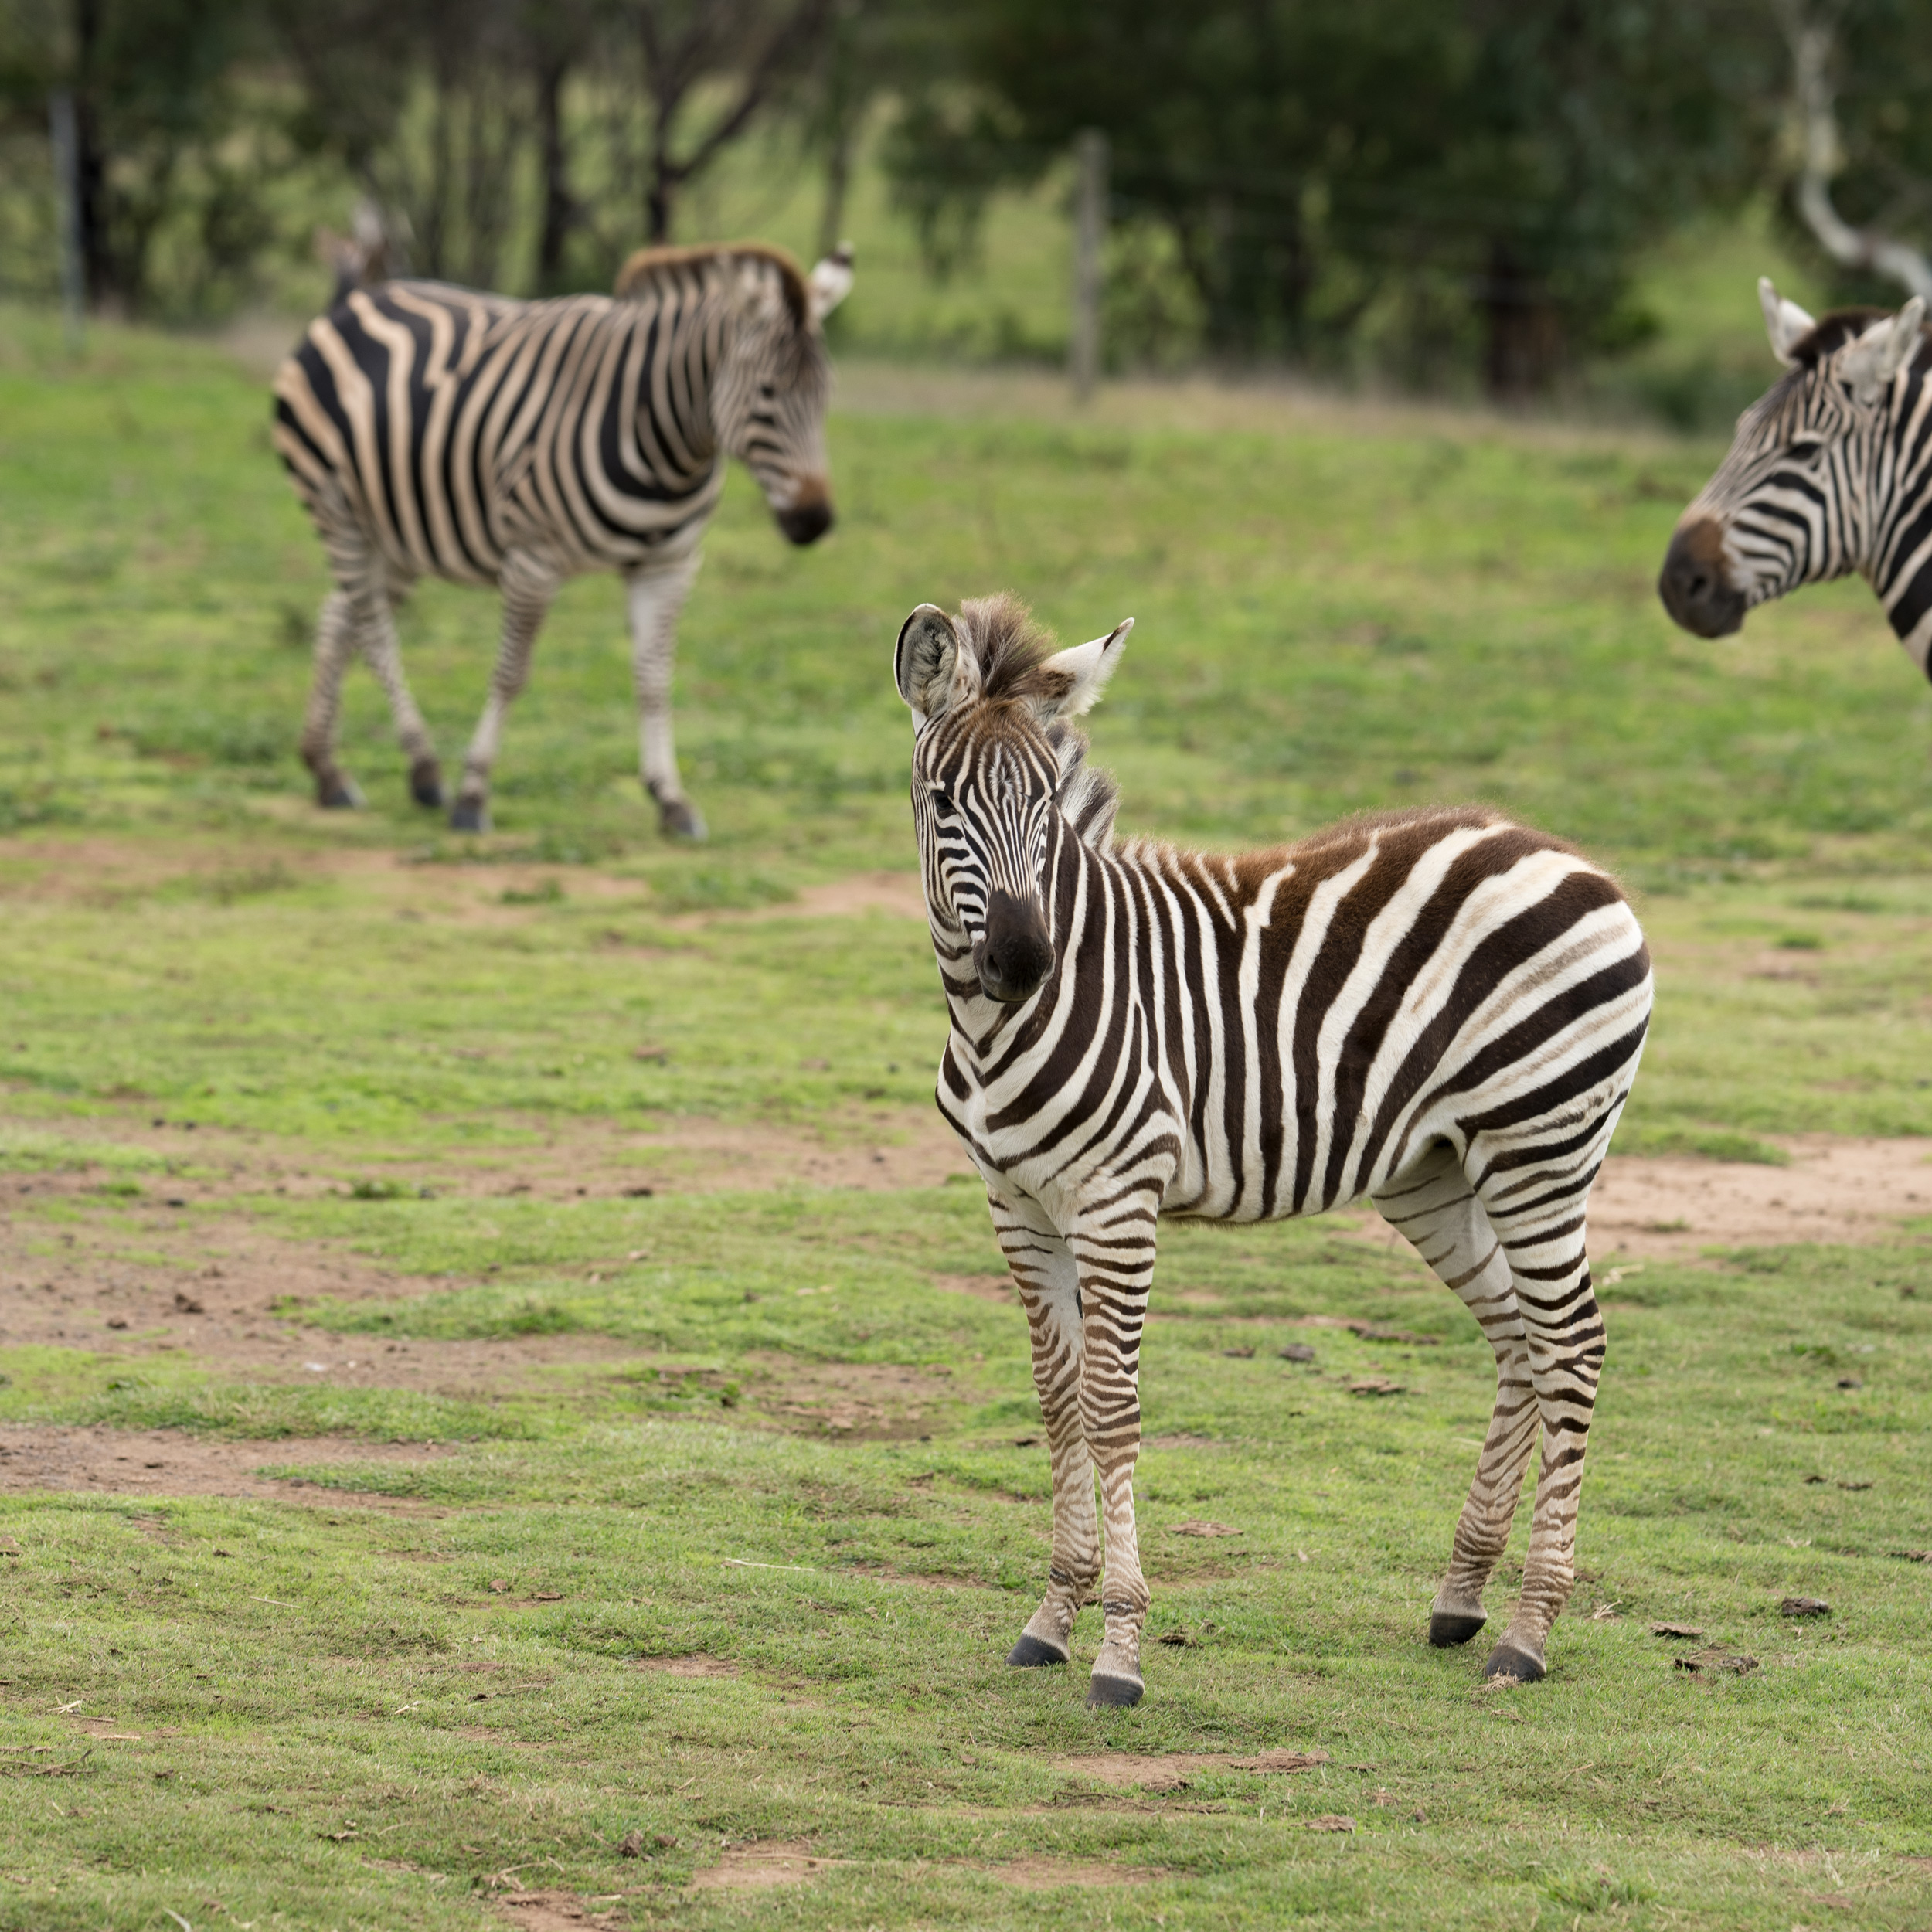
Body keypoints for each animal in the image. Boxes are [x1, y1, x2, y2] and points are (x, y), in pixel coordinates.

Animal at [272, 237, 854, 835]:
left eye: (826, 395)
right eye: (767, 393)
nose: (814, 521)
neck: (667, 442)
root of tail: (356, 301)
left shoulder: (669, 564)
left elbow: (654, 679)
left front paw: (671, 798)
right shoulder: (534, 559)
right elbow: (510, 674)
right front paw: (473, 794)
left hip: (399, 530)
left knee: (338, 619)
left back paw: (327, 769)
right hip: (336, 510)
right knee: (375, 633)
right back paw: (424, 767)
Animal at [896, 591, 1654, 1708]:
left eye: (1045, 806)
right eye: (944, 800)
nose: (1023, 959)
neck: (998, 1027)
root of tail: (1568, 855)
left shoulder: (1119, 1201)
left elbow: (1112, 1407)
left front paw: (1119, 1651)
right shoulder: (1017, 1207)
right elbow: (1058, 1401)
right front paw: (1050, 1619)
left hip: (1539, 1149)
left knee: (1573, 1345)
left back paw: (1528, 1632)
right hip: (1433, 1172)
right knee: (1520, 1336)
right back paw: (1461, 1599)